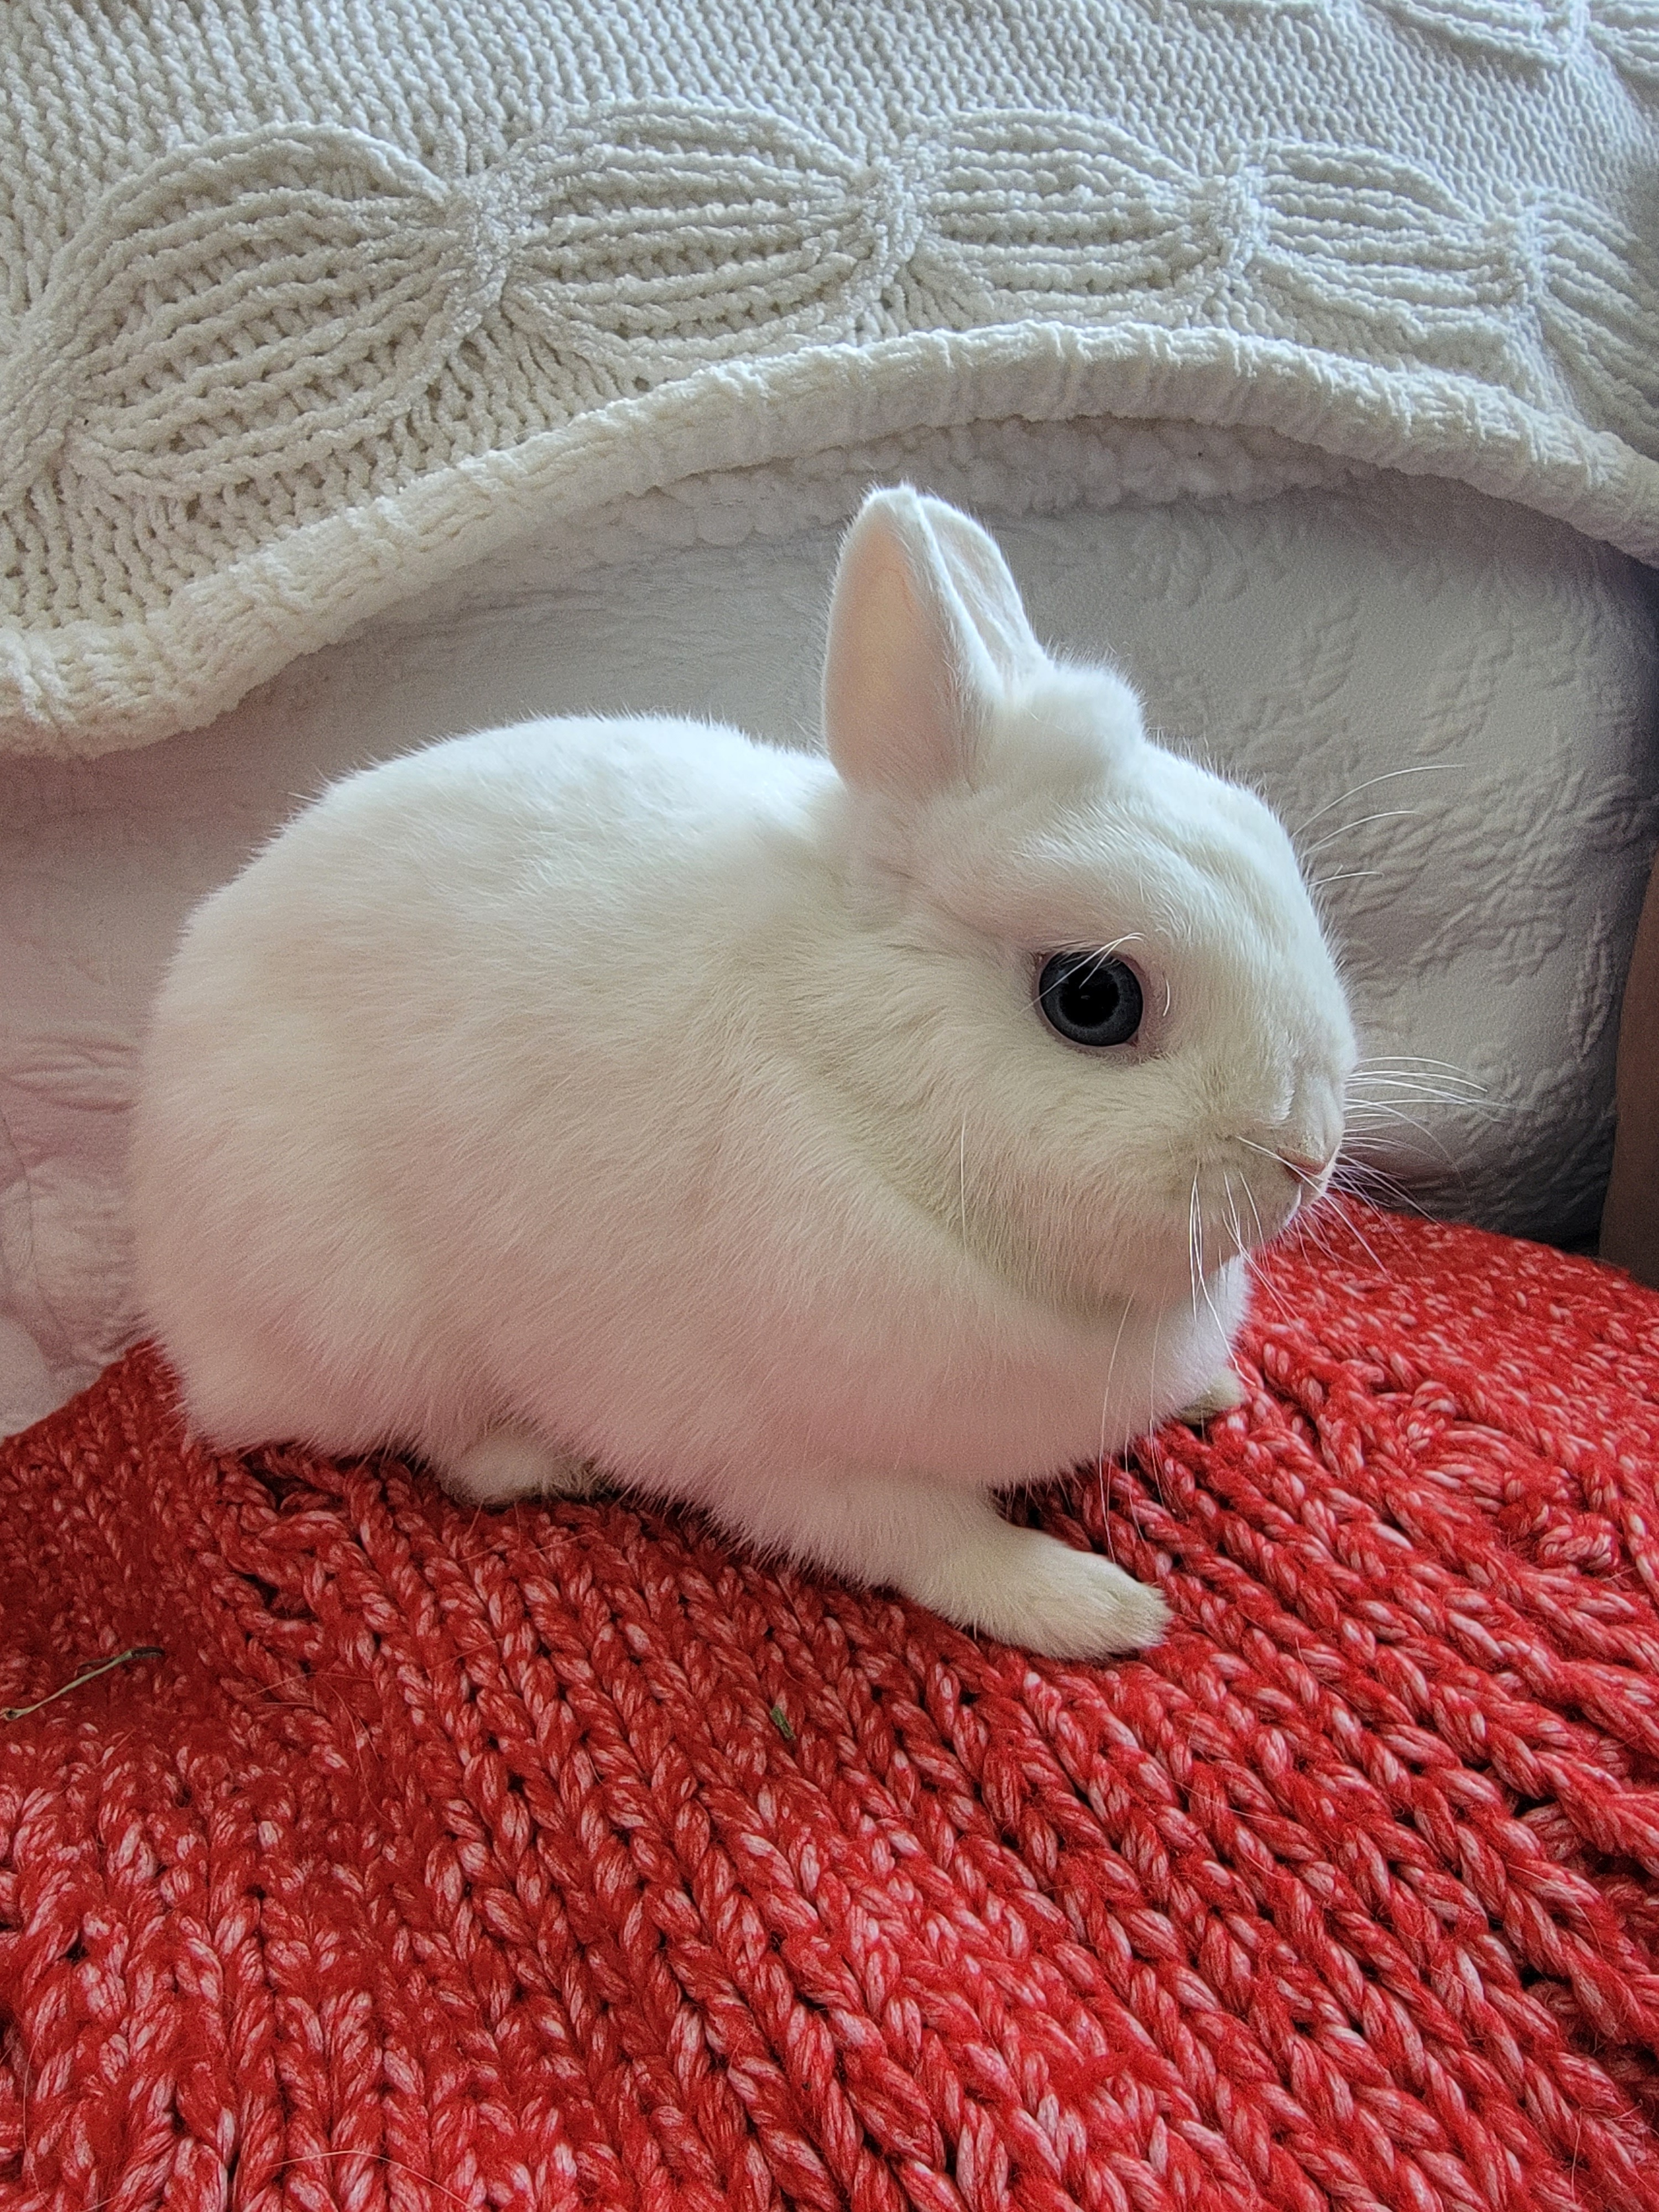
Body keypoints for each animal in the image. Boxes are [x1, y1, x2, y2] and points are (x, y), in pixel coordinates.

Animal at [127, 489, 1354, 1663]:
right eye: (1092, 999)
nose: (1310, 1152)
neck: (854, 1088)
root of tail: (171, 1269)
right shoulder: (803, 1464)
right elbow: (943, 1546)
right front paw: (1097, 1607)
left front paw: (1212, 1387)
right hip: (369, 1318)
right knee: (440, 1437)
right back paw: (545, 1460)